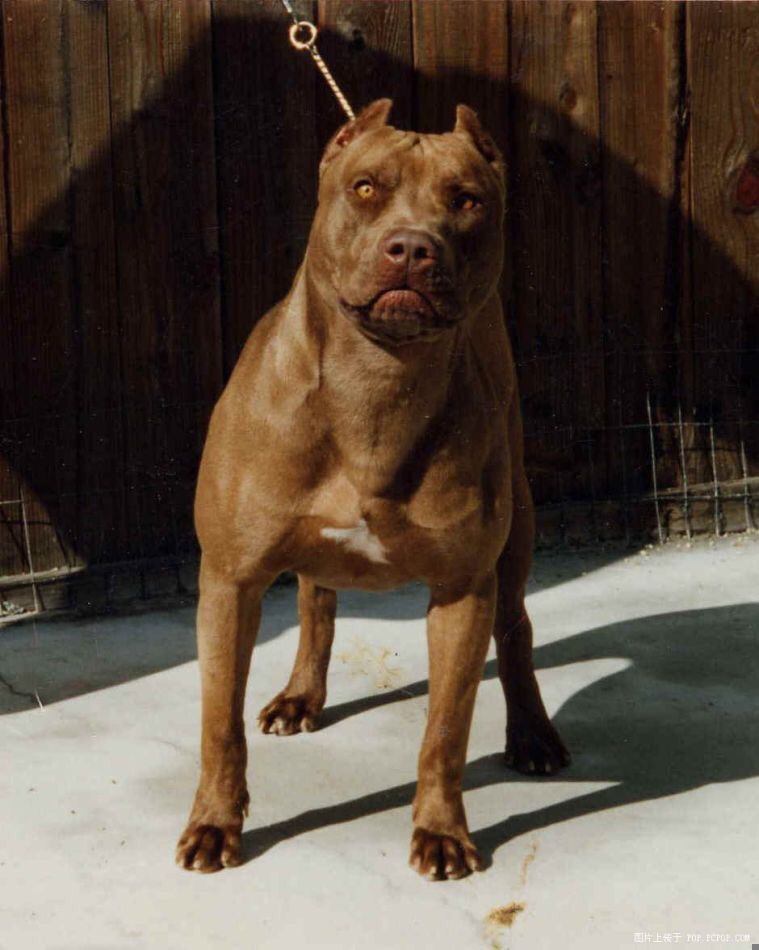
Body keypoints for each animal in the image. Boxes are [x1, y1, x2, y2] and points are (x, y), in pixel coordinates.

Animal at [177, 100, 568, 880]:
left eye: (466, 199)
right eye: (364, 187)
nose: (412, 248)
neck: (374, 382)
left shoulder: (462, 589)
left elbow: (445, 731)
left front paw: (441, 833)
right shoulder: (230, 579)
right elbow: (219, 722)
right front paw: (214, 823)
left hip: (514, 534)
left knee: (515, 627)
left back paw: (534, 734)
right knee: (314, 598)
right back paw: (301, 695)